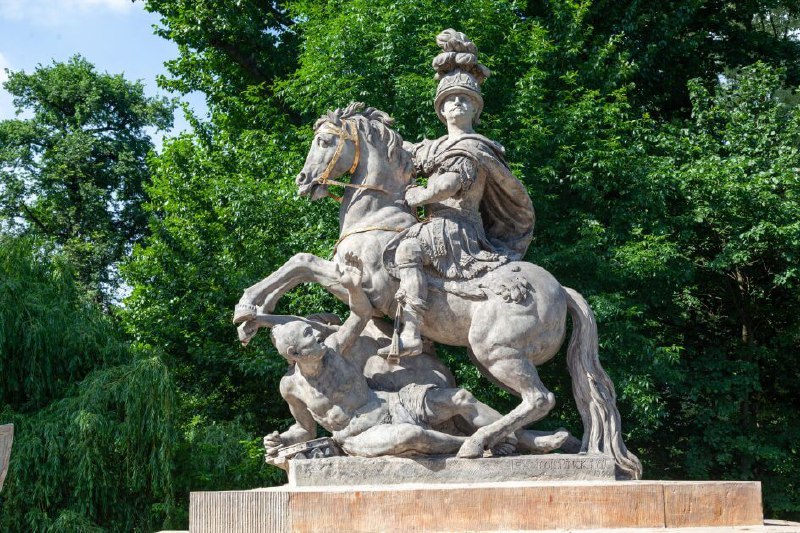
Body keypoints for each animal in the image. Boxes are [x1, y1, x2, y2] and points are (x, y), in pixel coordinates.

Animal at [233, 103, 644, 478]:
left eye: (324, 141)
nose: (303, 180)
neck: (376, 215)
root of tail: (562, 289)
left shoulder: (363, 285)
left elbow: (301, 262)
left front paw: (247, 310)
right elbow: (300, 267)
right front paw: (254, 315)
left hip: (497, 352)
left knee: (539, 399)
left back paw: (477, 445)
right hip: (492, 359)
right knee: (525, 403)